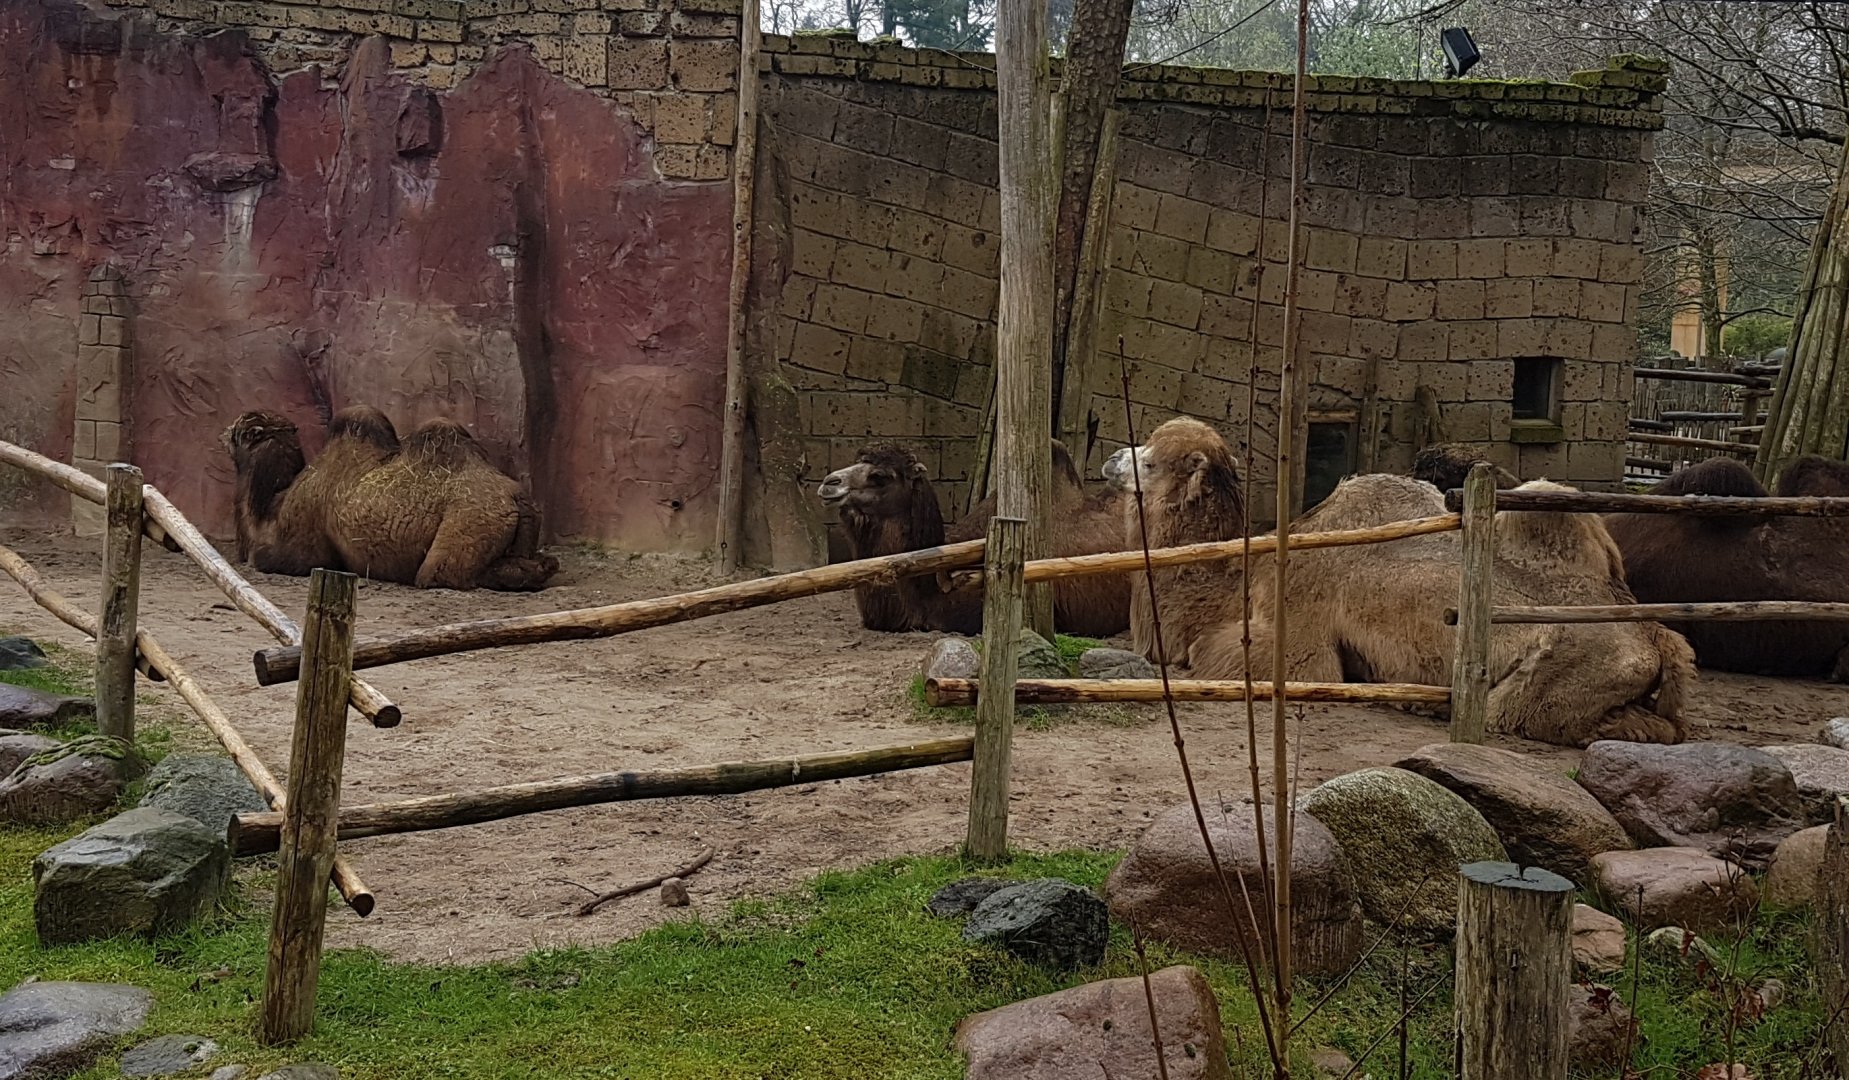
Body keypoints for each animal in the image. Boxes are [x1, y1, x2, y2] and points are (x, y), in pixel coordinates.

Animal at [222, 407, 558, 591]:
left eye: (239, 430)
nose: (222, 432)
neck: (270, 510)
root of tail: (519, 498)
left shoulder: (304, 548)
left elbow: (264, 558)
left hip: (467, 522)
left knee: (440, 573)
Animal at [1105, 418, 1694, 747]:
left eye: (1152, 461)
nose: (1111, 460)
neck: (1241, 580)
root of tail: (1658, 640)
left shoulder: (1300, 647)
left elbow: (1221, 655)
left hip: (1551, 682)